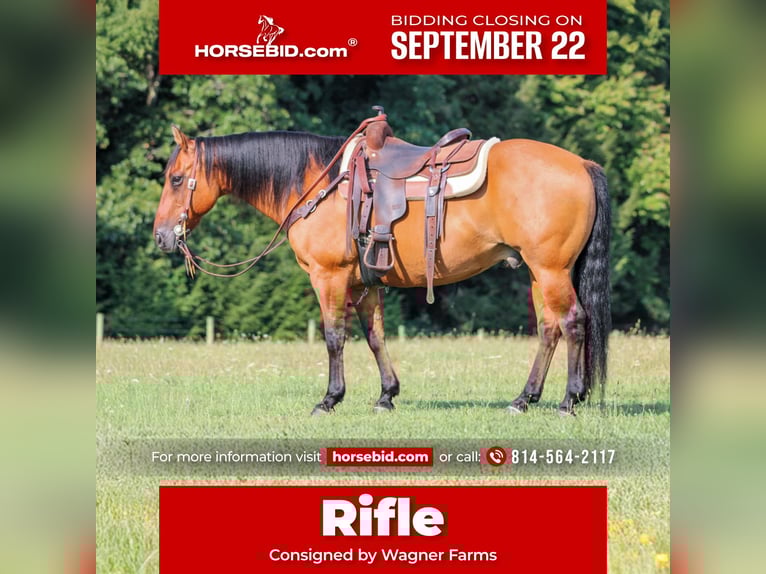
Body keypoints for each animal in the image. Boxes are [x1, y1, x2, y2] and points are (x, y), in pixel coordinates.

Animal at [153, 116, 611, 417]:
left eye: (176, 179)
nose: (161, 236)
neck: (316, 182)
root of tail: (582, 164)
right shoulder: (366, 282)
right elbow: (375, 337)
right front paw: (386, 395)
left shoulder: (329, 276)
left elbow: (334, 337)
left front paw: (329, 399)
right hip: (538, 272)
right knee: (549, 328)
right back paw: (523, 399)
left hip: (550, 269)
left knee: (573, 322)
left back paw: (568, 400)